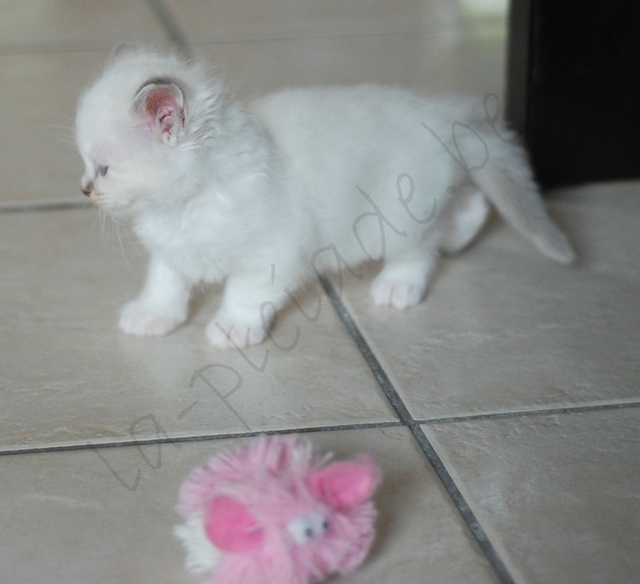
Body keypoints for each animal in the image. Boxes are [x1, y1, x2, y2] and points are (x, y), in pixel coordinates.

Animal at [76, 48, 576, 350]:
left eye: (104, 169)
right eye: (84, 163)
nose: (83, 190)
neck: (185, 206)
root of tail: (439, 113)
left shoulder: (272, 253)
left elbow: (244, 292)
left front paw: (233, 328)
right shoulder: (172, 251)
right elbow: (164, 284)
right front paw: (152, 316)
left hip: (391, 219)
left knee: (421, 249)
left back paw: (398, 287)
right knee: (467, 207)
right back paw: (457, 238)